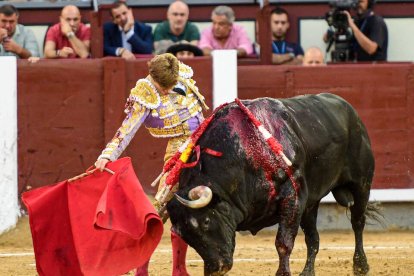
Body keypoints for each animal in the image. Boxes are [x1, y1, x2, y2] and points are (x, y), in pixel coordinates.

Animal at [167, 93, 376, 276]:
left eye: (206, 221)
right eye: (185, 236)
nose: (216, 268)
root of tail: (351, 112)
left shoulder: (292, 198)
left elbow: (283, 243)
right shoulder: (300, 202)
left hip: (362, 185)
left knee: (358, 223)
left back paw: (361, 265)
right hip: (311, 203)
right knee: (313, 238)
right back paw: (307, 272)